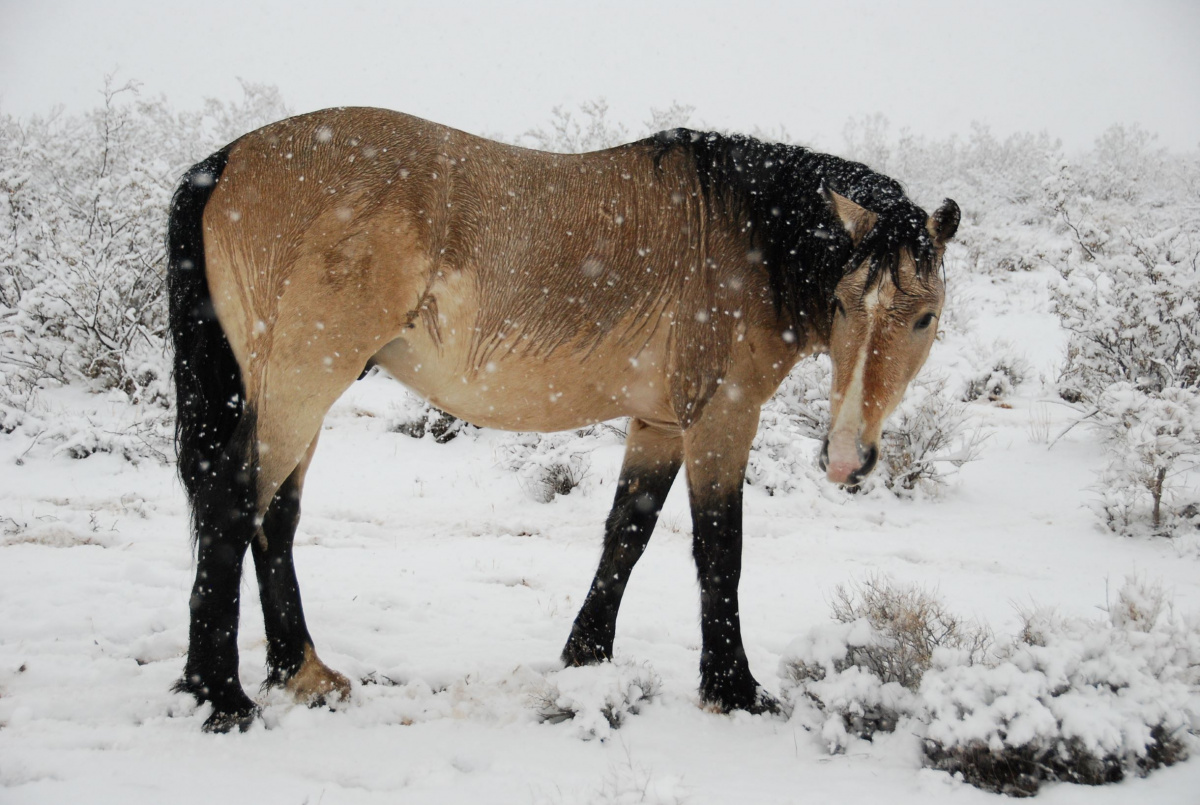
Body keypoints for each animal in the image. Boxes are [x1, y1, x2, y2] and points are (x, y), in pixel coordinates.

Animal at [166, 105, 955, 729]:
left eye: (924, 317)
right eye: (845, 304)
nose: (846, 457)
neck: (746, 236)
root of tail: (226, 160)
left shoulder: (660, 424)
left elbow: (627, 533)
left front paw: (587, 656)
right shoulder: (721, 419)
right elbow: (719, 549)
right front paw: (734, 689)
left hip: (292, 390)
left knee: (275, 515)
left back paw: (301, 672)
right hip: (301, 381)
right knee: (232, 501)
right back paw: (222, 696)